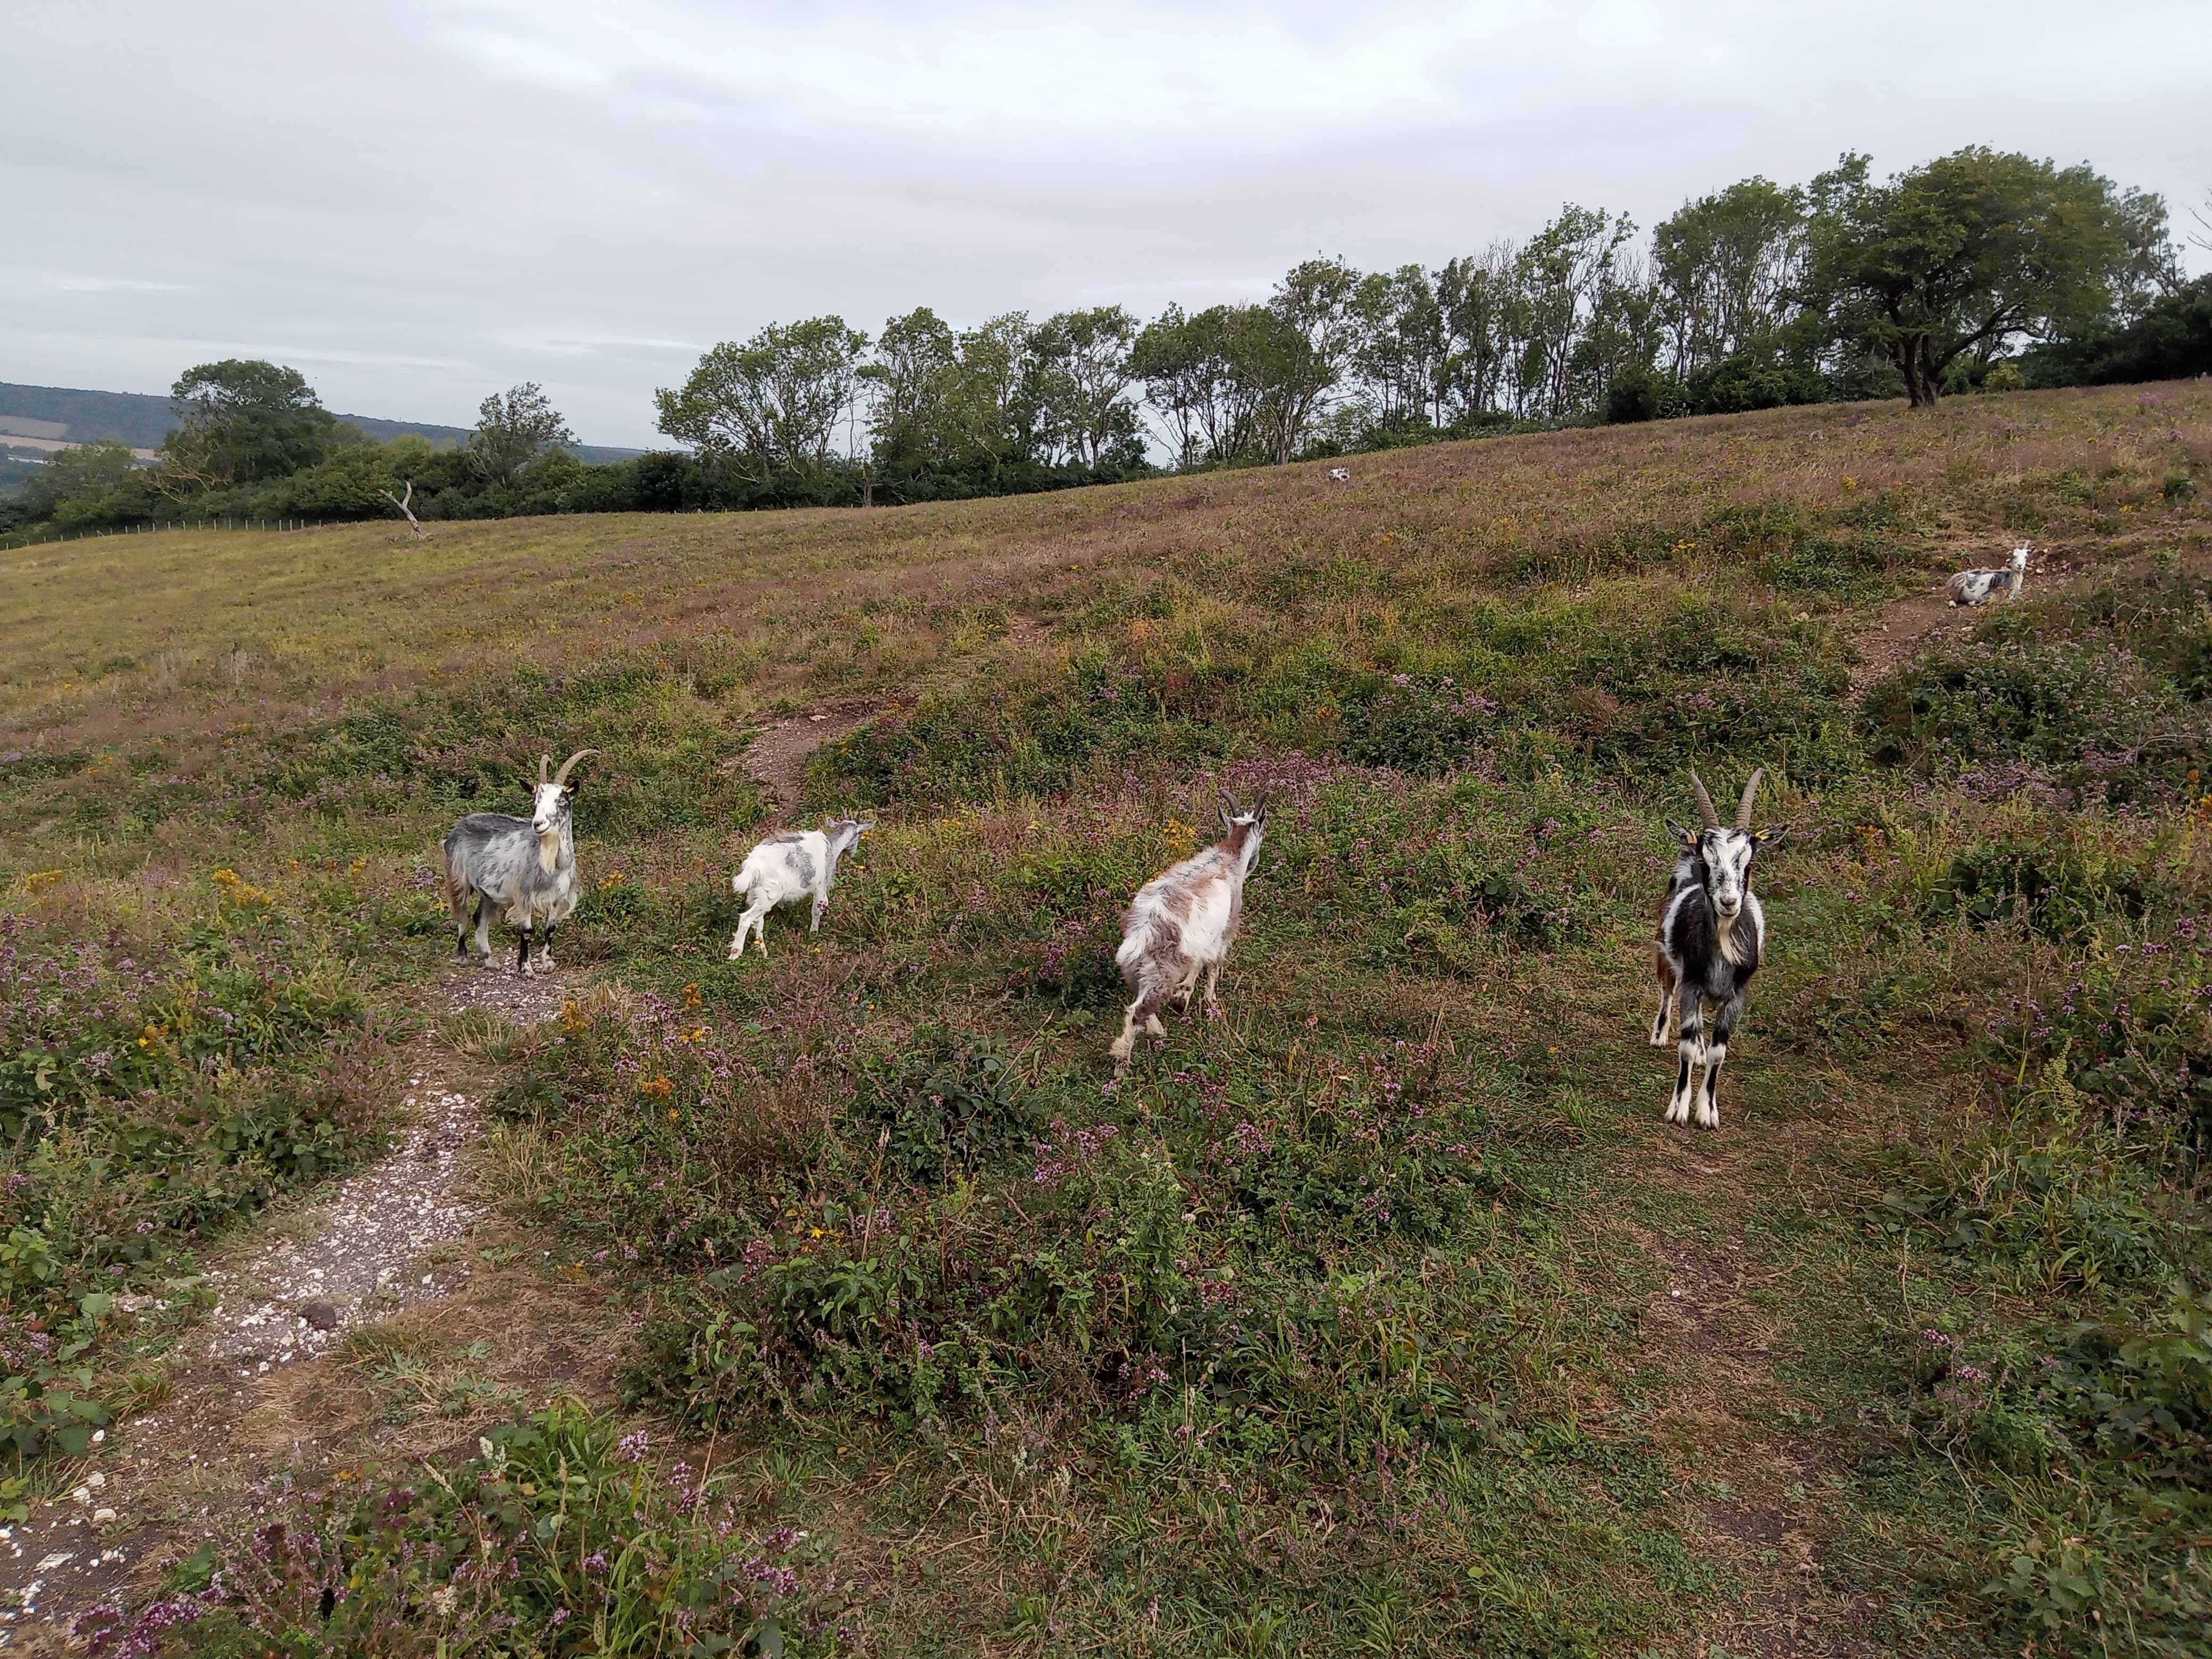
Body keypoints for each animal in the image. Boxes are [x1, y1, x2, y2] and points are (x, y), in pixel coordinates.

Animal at [442, 749, 597, 976]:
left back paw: (489, 960)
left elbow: (551, 929)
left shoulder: (558, 897)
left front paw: (547, 963)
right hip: (458, 877)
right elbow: (526, 930)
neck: (553, 866)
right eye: (535, 801)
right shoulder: (524, 895)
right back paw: (463, 957)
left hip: (489, 892)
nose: (537, 824)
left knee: (480, 917)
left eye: (561, 800)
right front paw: (525, 967)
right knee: (461, 914)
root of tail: (460, 826)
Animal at [728, 818, 873, 960]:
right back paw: (735, 953)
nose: (853, 854)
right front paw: (813, 934)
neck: (831, 847)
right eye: (859, 834)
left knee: (758, 920)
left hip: (757, 894)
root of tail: (753, 866)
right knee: (747, 918)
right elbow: (816, 911)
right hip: (770, 894)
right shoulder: (820, 886)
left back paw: (763, 952)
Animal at [1109, 795, 1267, 1070]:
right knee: (1136, 1011)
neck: (1229, 857)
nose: (1254, 864)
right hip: (1163, 969)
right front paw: (1208, 1002)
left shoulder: (1202, 939)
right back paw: (1123, 1064)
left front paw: (1184, 993)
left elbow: (1199, 961)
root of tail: (1143, 929)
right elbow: (1213, 964)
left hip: (1135, 968)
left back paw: (1157, 1029)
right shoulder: (1225, 931)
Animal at [1650, 770, 1779, 1130]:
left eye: (1749, 863)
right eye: (1708, 862)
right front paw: (1678, 1108)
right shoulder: (1692, 984)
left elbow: (1719, 1051)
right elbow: (1685, 1047)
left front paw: (1708, 1112)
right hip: (1668, 956)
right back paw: (1660, 1035)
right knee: (1668, 991)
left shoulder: (1738, 994)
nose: (1729, 902)